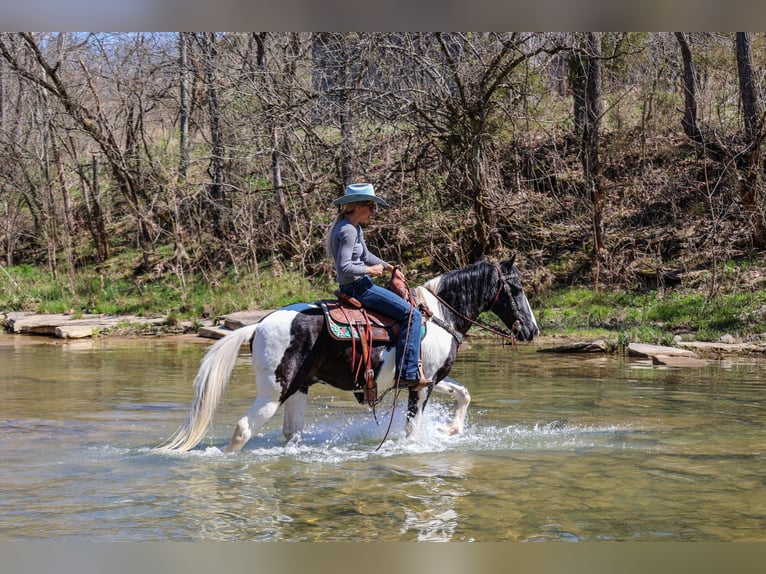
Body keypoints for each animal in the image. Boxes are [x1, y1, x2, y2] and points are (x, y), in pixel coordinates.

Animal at [158, 258, 540, 454]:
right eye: (517, 288)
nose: (532, 331)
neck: (438, 315)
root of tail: (257, 325)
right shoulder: (420, 385)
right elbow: (412, 430)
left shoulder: (428, 379)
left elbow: (464, 393)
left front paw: (451, 429)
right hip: (273, 392)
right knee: (242, 429)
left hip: (298, 389)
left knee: (291, 434)